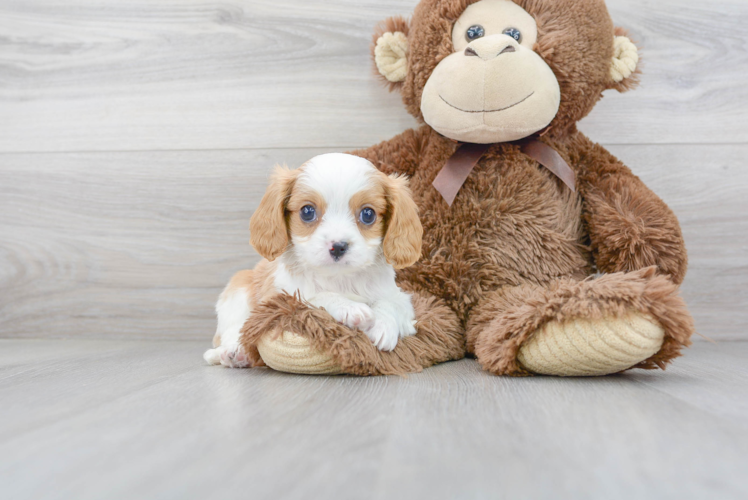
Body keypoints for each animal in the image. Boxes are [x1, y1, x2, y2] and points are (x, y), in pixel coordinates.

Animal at [205, 152, 424, 368]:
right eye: (307, 212)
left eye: (368, 214)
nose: (338, 246)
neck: (339, 278)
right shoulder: (279, 298)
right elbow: (315, 297)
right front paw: (350, 308)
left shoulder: (399, 296)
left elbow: (391, 303)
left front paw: (383, 325)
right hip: (238, 291)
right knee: (232, 331)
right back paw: (235, 352)